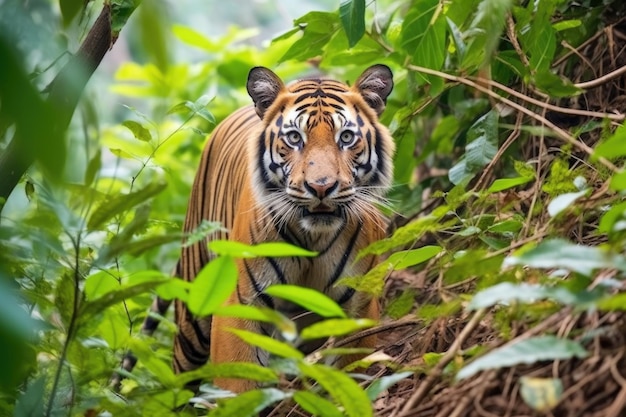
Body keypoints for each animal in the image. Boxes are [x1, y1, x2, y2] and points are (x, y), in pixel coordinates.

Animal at [122, 63, 394, 392]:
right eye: (294, 138)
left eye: (346, 137)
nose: (320, 187)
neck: (313, 238)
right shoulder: (240, 304)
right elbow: (238, 386)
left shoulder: (358, 307)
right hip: (194, 312)